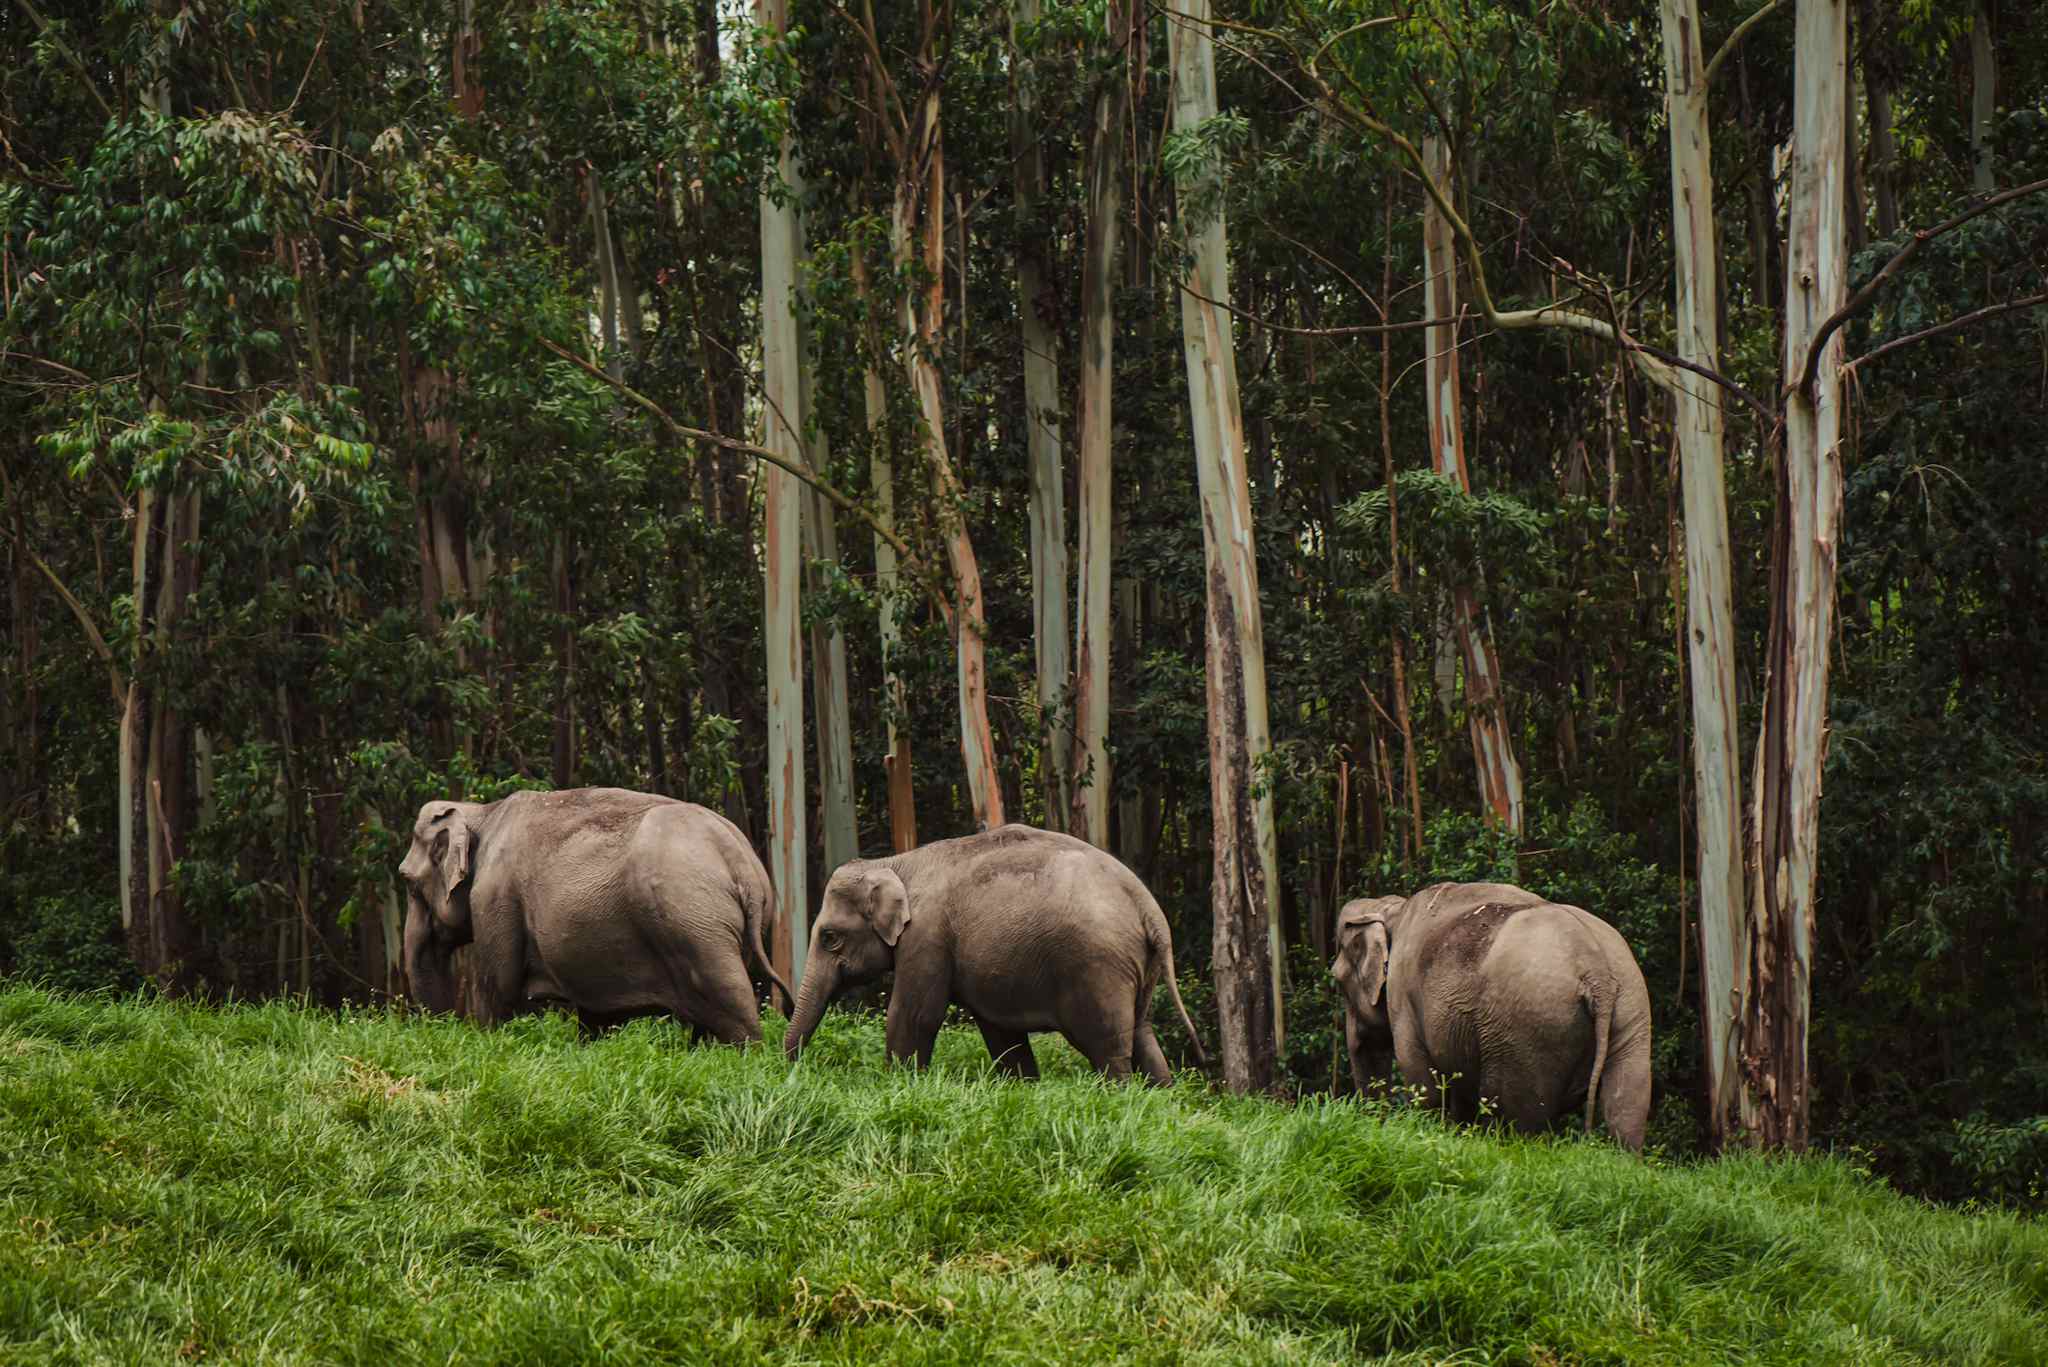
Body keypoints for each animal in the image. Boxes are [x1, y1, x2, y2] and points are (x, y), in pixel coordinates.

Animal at [393, 786, 790, 1041]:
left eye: (408, 883)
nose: (443, 1030)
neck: (483, 812)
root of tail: (740, 862)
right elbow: (596, 1016)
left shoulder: (495, 899)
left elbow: (499, 993)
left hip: (695, 923)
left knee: (731, 1003)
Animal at [778, 823, 1196, 1082]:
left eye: (829, 937)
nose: (794, 1070)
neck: (896, 863)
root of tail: (1149, 907)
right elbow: (1001, 1032)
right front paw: (1023, 1087)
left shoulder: (926, 936)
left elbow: (915, 1015)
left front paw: (897, 1083)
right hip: (1136, 966)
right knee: (1143, 1035)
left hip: (1098, 968)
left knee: (1108, 1048)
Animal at [1335, 881, 1654, 1147]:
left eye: (1336, 979)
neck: (1393, 909)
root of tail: (1596, 970)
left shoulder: (1403, 998)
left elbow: (1423, 1080)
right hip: (1632, 1007)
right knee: (1628, 1105)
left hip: (1526, 1028)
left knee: (1517, 1116)